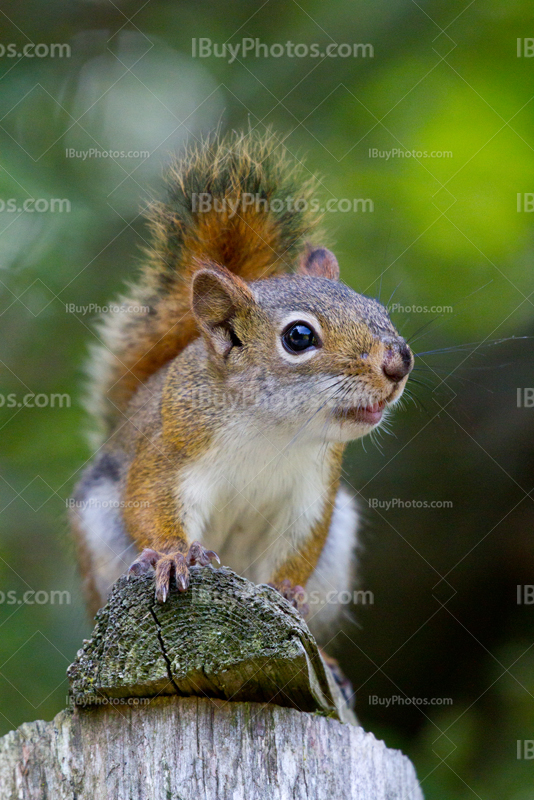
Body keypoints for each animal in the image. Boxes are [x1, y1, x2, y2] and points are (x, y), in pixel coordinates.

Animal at [71, 131, 414, 644]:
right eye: (299, 337)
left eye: (378, 310)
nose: (399, 362)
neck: (271, 428)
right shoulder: (172, 446)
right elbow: (150, 503)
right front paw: (174, 555)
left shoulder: (312, 493)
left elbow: (298, 549)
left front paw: (289, 593)